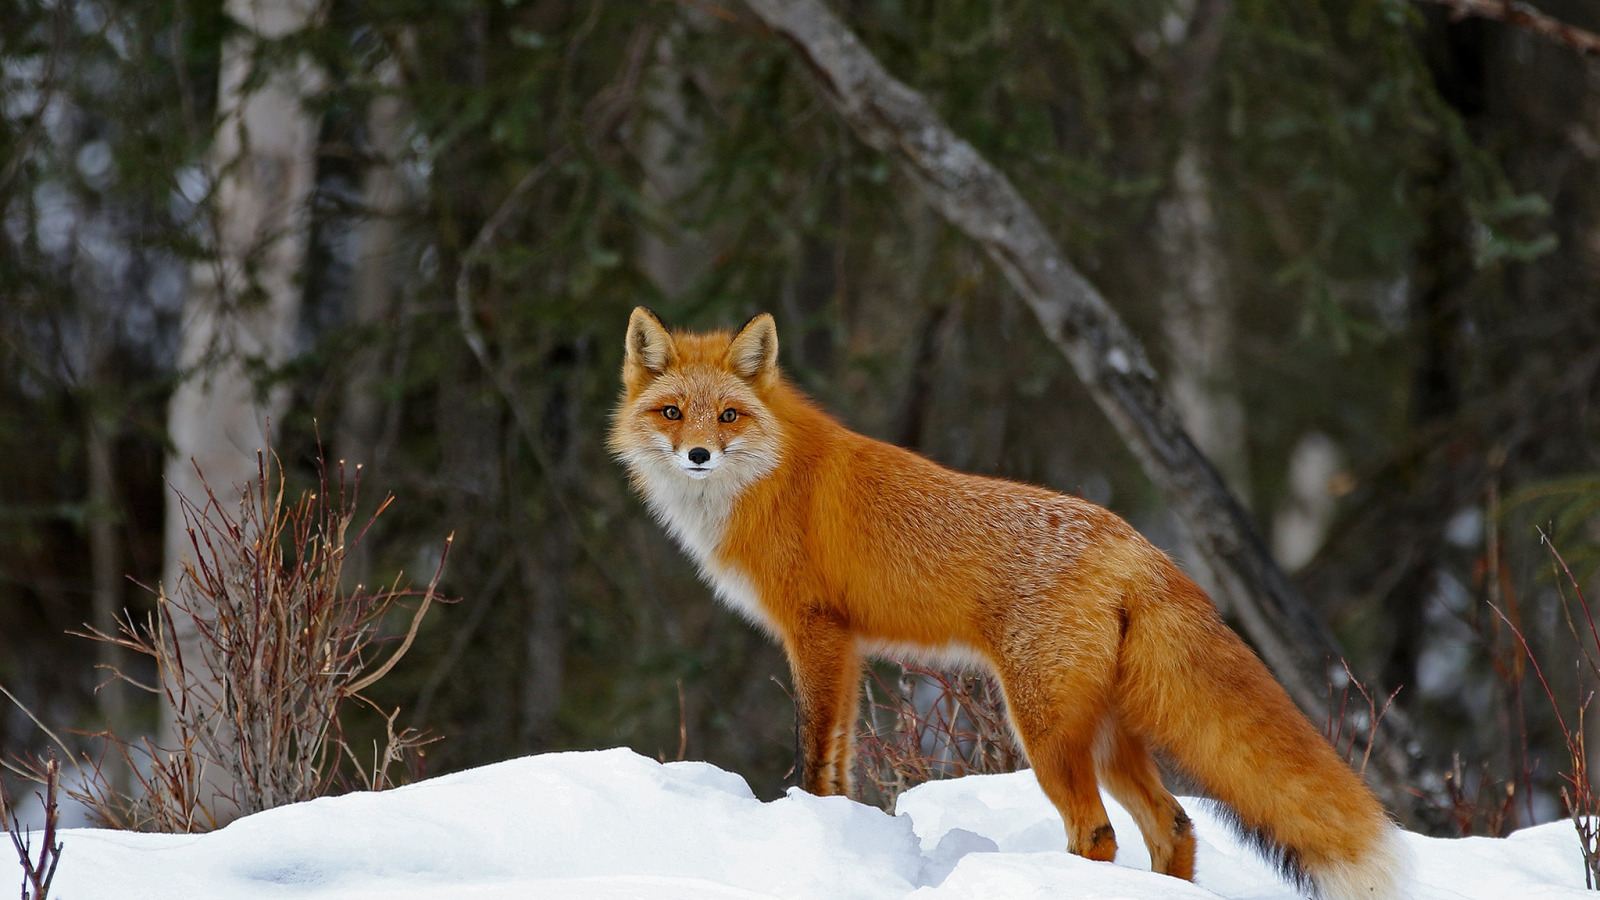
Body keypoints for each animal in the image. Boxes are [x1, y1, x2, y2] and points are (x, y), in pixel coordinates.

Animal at [604, 304, 1408, 890]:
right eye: (672, 413)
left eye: (727, 416)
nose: (697, 455)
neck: (769, 481)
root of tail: (1138, 545)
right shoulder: (849, 647)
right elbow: (841, 764)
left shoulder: (816, 633)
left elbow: (813, 755)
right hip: (1107, 733)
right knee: (1174, 824)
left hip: (1046, 729)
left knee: (1098, 831)